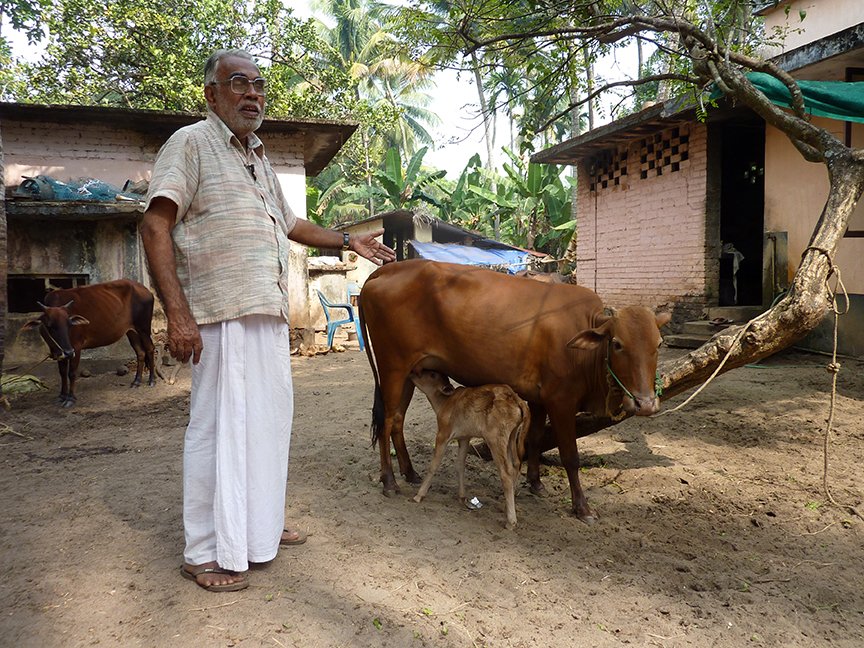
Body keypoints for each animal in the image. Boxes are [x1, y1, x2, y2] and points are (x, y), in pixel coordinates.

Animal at [22, 278, 159, 404]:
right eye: (50, 326)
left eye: (69, 324)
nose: (68, 352)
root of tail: (146, 290)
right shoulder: (59, 351)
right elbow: (62, 372)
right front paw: (62, 396)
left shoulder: (76, 347)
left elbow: (71, 373)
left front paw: (70, 398)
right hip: (131, 331)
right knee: (140, 352)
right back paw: (136, 381)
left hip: (143, 328)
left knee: (150, 349)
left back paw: (152, 380)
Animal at [410, 370, 528, 532]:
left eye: (433, 374)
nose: (413, 372)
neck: (445, 402)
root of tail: (516, 399)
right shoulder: (464, 438)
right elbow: (460, 465)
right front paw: (462, 497)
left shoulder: (443, 434)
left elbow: (433, 465)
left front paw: (419, 495)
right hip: (512, 435)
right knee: (516, 464)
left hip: (496, 439)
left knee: (506, 472)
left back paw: (511, 521)